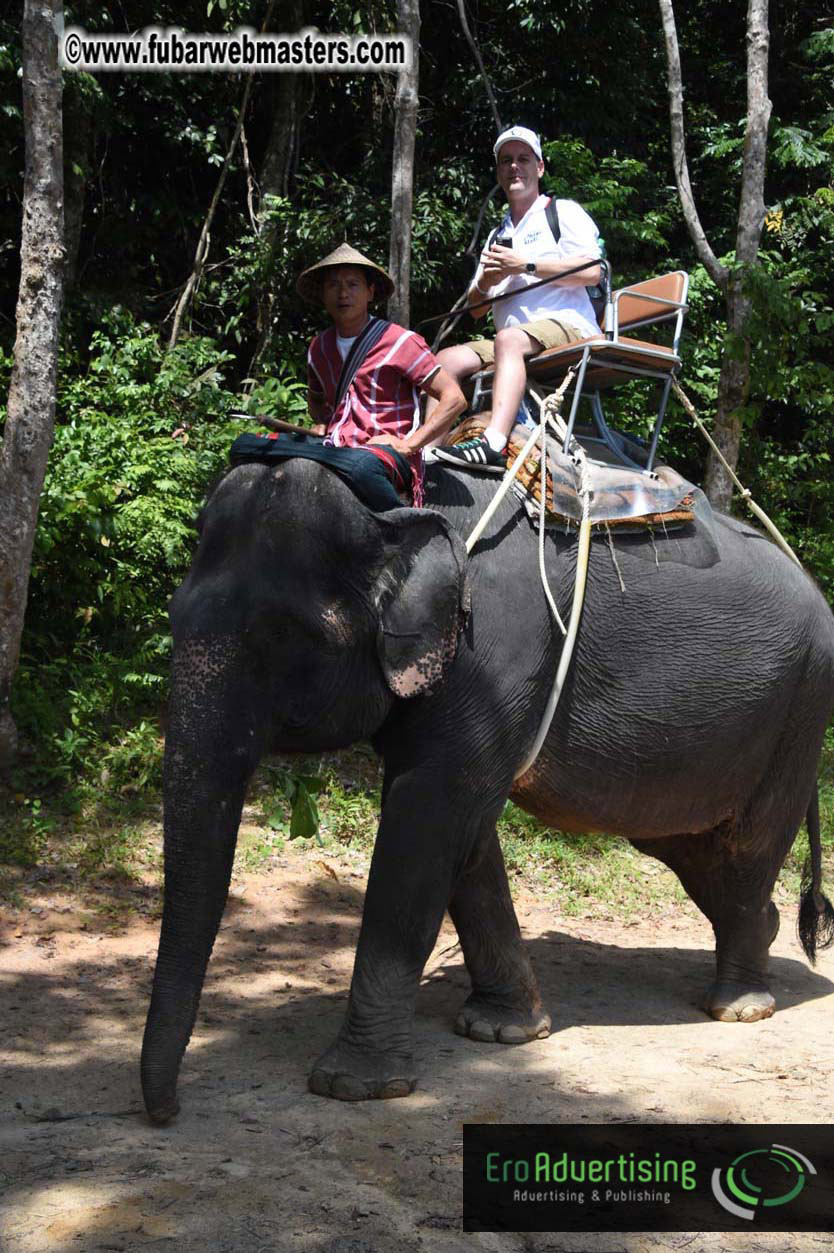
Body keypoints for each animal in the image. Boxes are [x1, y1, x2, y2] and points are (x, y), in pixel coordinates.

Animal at [141, 455, 834, 1122]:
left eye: (284, 637)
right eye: (172, 615)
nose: (168, 1110)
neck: (395, 504)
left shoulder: (496, 653)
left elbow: (428, 818)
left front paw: (353, 1086)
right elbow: (465, 836)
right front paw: (502, 1032)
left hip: (800, 713)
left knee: (745, 850)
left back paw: (739, 1006)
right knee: (694, 852)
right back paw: (763, 947)